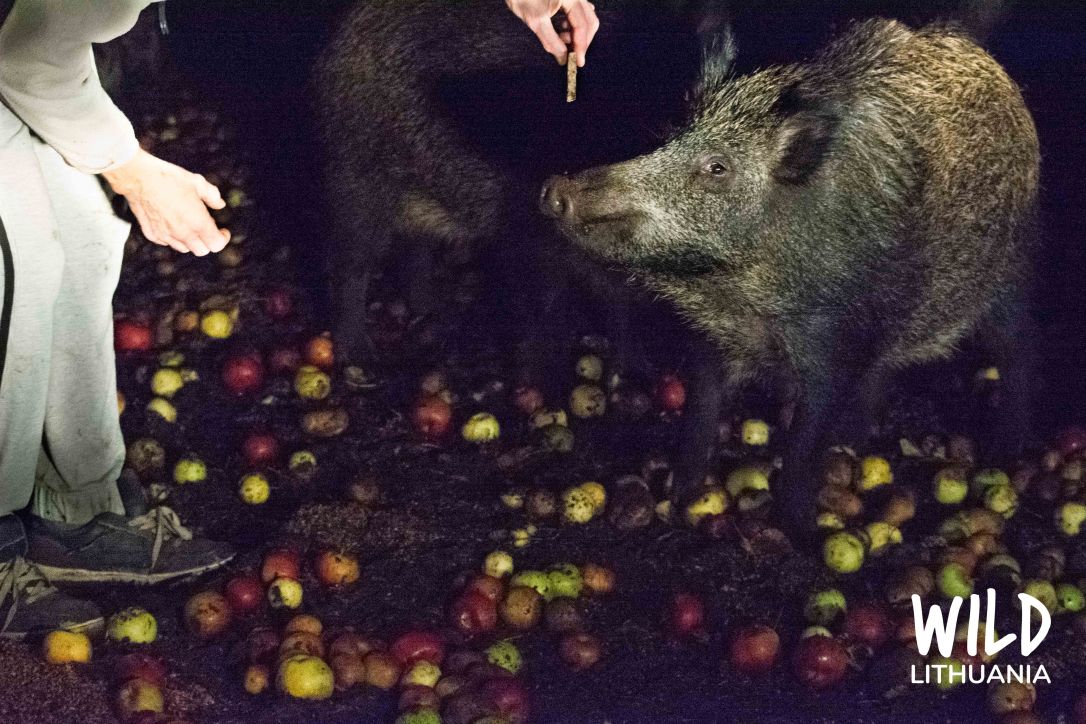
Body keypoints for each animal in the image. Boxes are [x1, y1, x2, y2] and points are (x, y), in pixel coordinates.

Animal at [541, 17, 1040, 529]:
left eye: (717, 167)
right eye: (669, 136)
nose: (554, 188)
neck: (744, 296)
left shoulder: (831, 340)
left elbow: (805, 444)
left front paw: (795, 527)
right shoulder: (714, 336)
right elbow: (701, 410)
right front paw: (682, 496)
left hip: (1009, 273)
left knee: (1018, 351)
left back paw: (1006, 451)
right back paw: (855, 442)